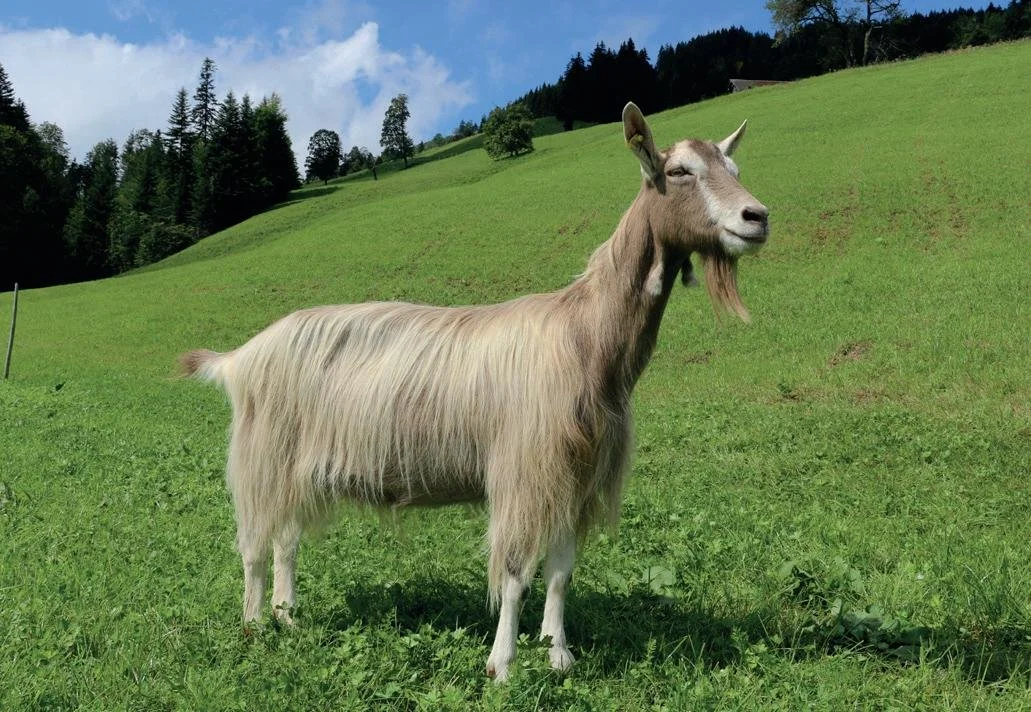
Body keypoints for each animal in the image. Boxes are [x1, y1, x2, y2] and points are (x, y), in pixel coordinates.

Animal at [180, 102, 769, 682]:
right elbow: (513, 572)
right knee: (255, 543)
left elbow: (560, 571)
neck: (582, 334)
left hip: (296, 466)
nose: (757, 217)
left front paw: (558, 654)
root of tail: (240, 357)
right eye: (679, 172)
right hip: (264, 457)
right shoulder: (523, 470)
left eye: (734, 168)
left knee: (286, 538)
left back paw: (289, 618)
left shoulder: (574, 474)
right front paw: (502, 665)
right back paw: (255, 625)